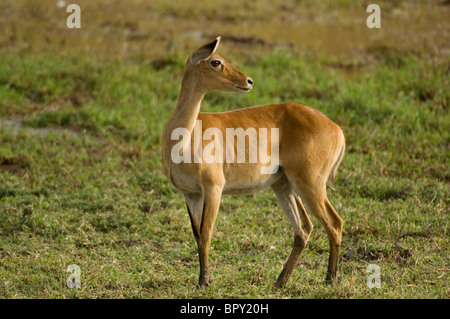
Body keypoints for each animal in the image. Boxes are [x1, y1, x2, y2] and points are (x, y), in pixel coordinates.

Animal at [162, 37, 344, 288]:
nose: (248, 81)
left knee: (334, 223)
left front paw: (204, 282)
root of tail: (335, 127)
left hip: (310, 185)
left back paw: (329, 279)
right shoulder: (191, 194)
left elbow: (206, 233)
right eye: (216, 61)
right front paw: (203, 280)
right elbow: (197, 235)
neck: (184, 139)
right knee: (304, 228)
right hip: (283, 185)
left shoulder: (214, 188)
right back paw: (280, 281)